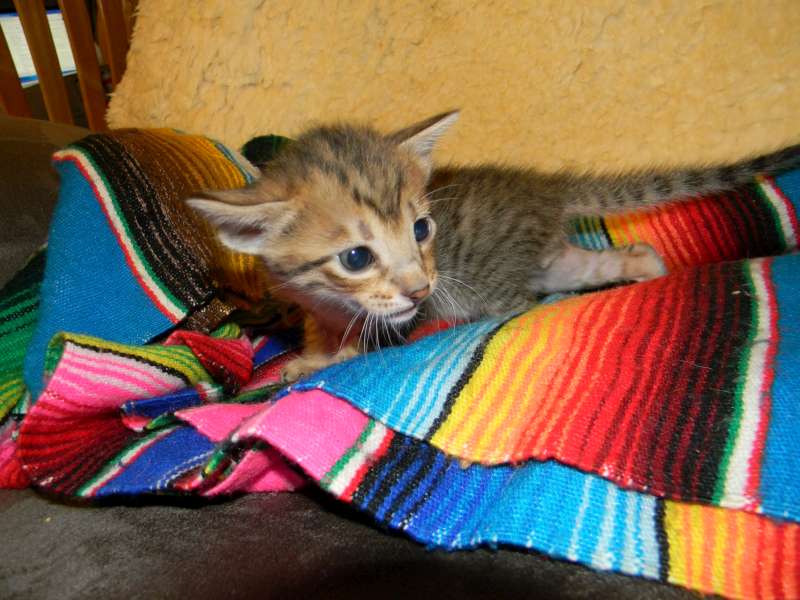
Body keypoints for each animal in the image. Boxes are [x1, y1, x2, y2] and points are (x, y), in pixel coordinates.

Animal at [188, 111, 799, 382]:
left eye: (422, 229)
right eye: (356, 258)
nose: (420, 287)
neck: (336, 302)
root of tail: (545, 191)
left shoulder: (405, 313)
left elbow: (366, 344)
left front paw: (315, 366)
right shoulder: (318, 304)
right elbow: (323, 332)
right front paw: (314, 353)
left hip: (494, 283)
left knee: (519, 304)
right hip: (548, 259)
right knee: (597, 262)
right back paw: (643, 265)